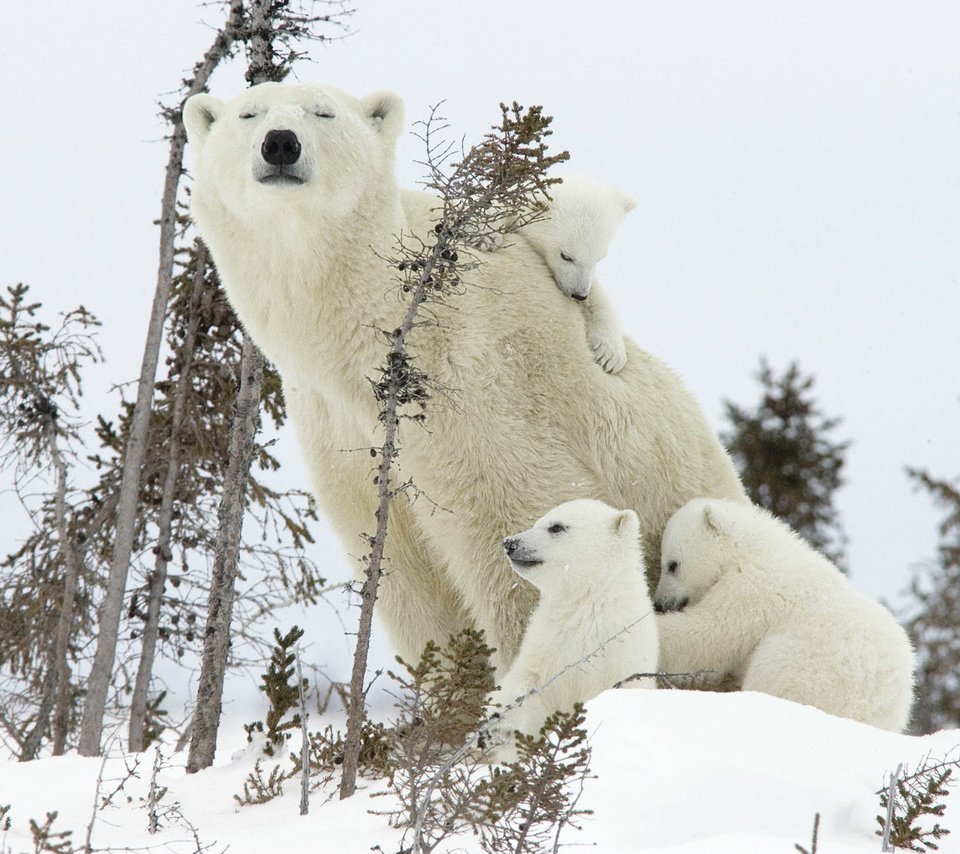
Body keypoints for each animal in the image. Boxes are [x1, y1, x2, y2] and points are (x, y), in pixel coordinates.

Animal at [184, 82, 748, 668]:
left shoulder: (476, 388)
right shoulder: (338, 430)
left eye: (324, 112)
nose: (280, 144)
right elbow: (407, 579)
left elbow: (519, 533)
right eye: (249, 114)